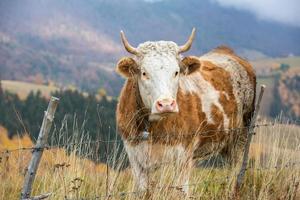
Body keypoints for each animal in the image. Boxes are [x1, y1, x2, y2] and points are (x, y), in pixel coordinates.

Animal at [115, 28, 255, 195]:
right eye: (144, 73)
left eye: (176, 72)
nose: (166, 104)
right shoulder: (135, 157)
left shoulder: (183, 156)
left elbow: (181, 189)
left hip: (241, 137)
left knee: (234, 170)